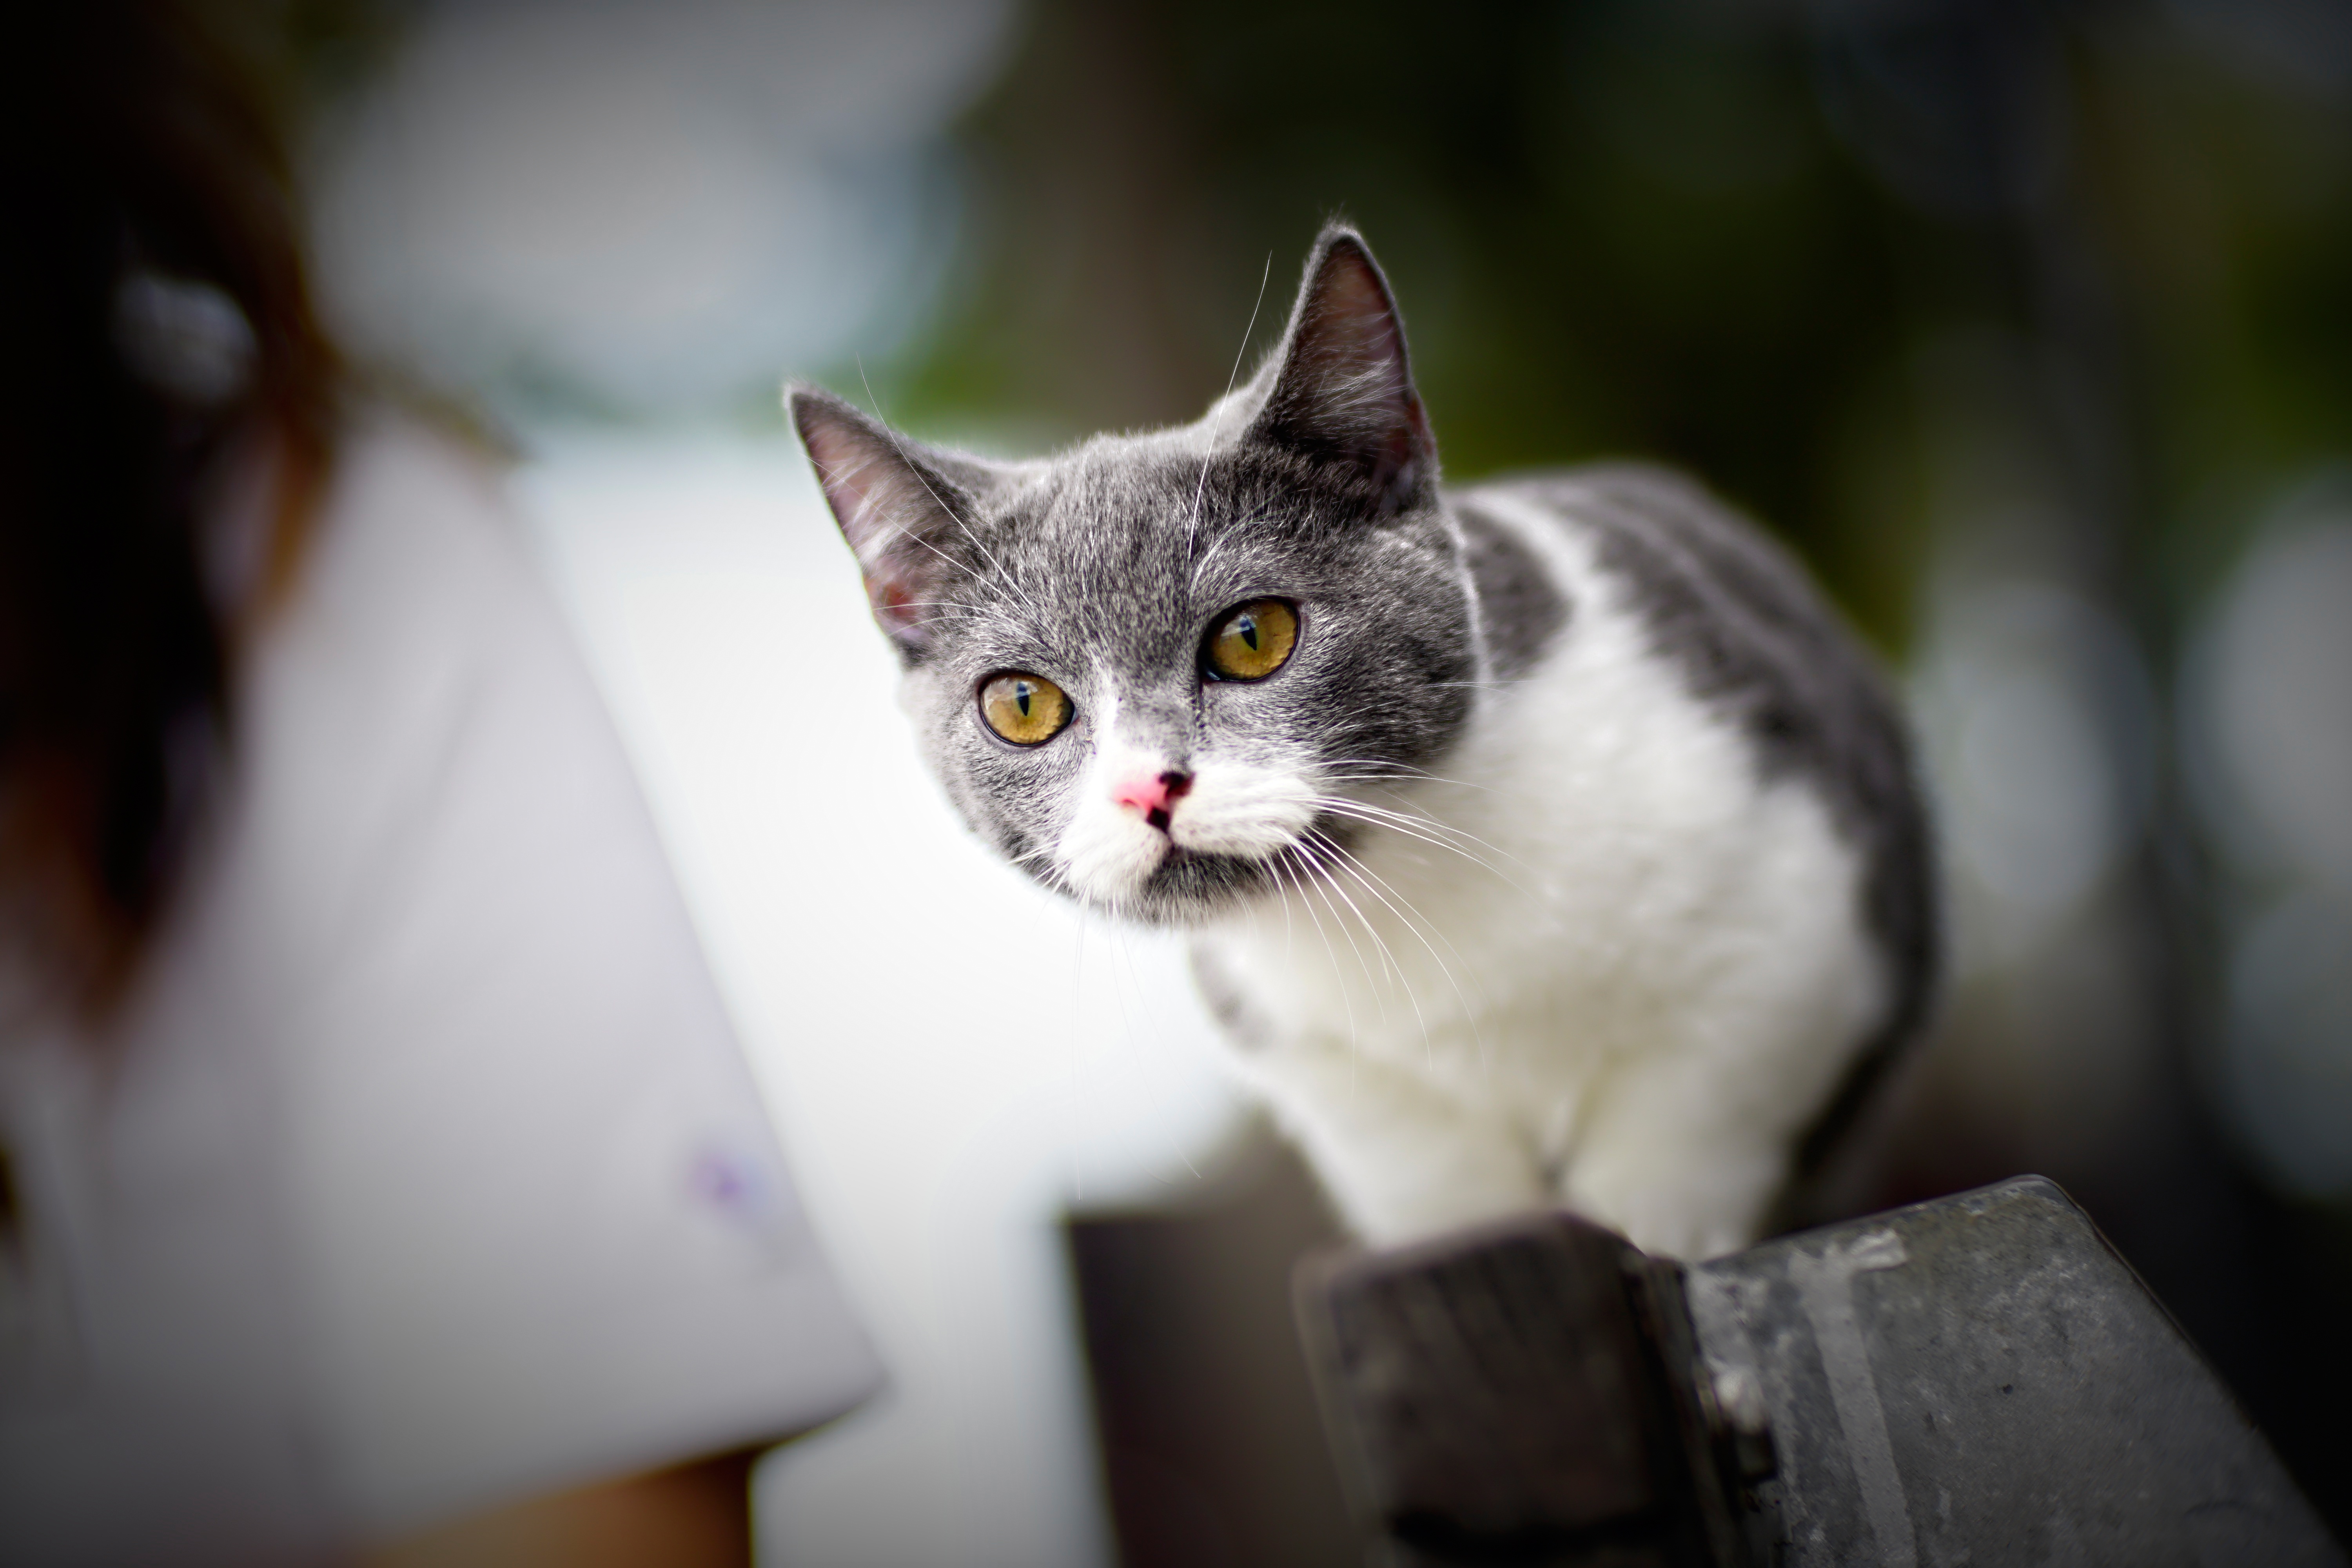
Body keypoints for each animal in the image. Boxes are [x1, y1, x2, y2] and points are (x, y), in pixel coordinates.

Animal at [790, 223, 1929, 1260]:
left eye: (1253, 637)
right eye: (1022, 704)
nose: (1148, 789)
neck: (1397, 908)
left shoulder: (1792, 917)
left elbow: (1696, 1101)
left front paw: (1654, 1225)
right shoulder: (1342, 1089)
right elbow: (1447, 1183)